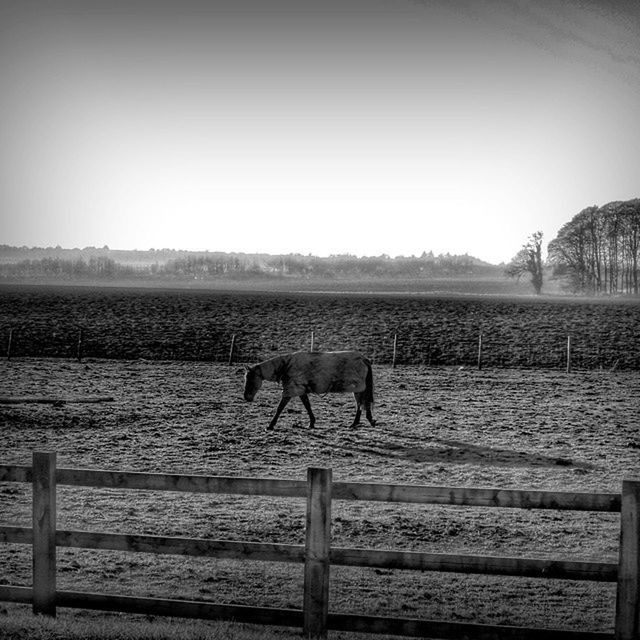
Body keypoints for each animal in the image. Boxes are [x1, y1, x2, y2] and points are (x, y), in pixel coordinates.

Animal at [244, 350, 376, 430]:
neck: (286, 365)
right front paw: (312, 422)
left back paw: (361, 422)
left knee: (362, 403)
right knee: (361, 404)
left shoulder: (291, 390)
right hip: (358, 389)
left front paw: (270, 425)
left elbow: (280, 408)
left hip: (359, 389)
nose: (246, 397)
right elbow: (307, 406)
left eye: (250, 379)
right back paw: (359, 422)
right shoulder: (301, 390)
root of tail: (364, 359)